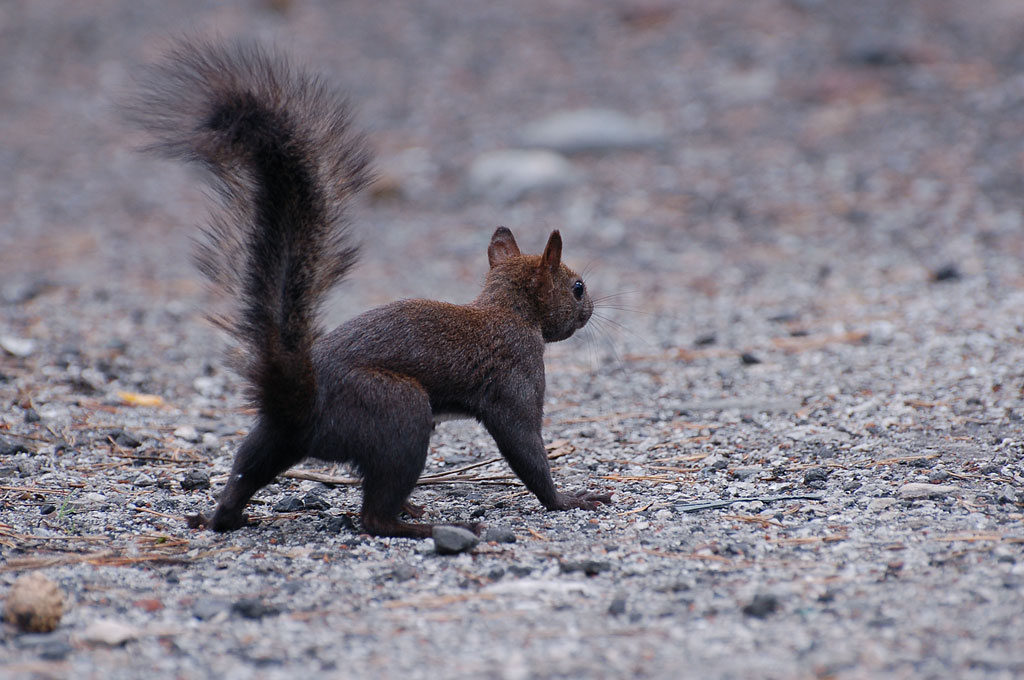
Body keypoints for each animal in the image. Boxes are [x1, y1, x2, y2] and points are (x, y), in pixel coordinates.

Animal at [129, 39, 611, 538]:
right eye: (577, 287)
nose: (591, 309)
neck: (510, 310)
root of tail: (302, 404)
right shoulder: (516, 375)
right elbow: (524, 445)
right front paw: (568, 500)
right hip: (398, 413)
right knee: (374, 516)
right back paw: (421, 524)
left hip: (275, 437)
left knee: (248, 466)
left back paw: (222, 515)